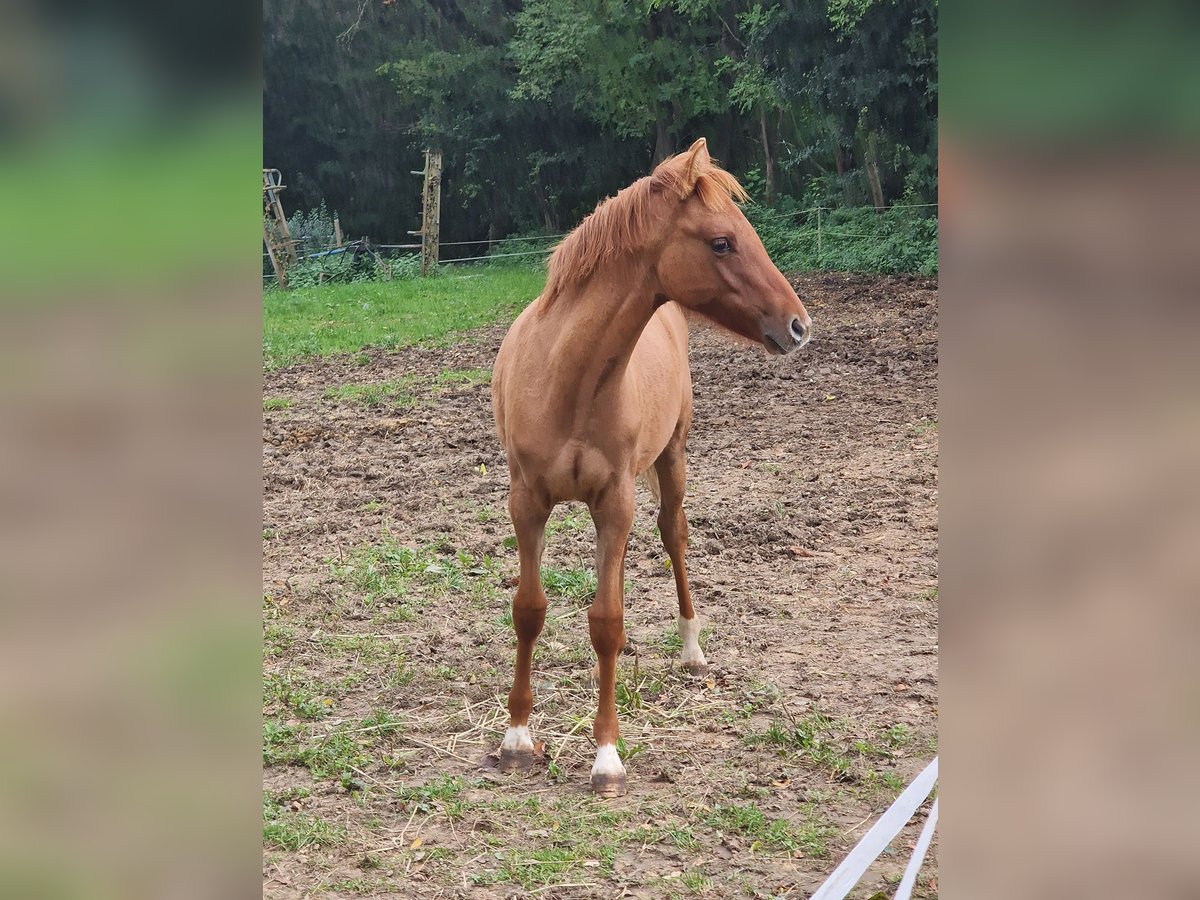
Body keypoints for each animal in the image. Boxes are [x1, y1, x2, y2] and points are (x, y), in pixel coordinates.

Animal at [489, 137, 816, 792]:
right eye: (721, 241)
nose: (798, 325)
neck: (565, 378)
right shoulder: (526, 501)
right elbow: (529, 611)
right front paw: (516, 738)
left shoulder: (615, 502)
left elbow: (607, 622)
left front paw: (606, 755)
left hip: (672, 459)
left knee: (674, 536)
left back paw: (692, 649)